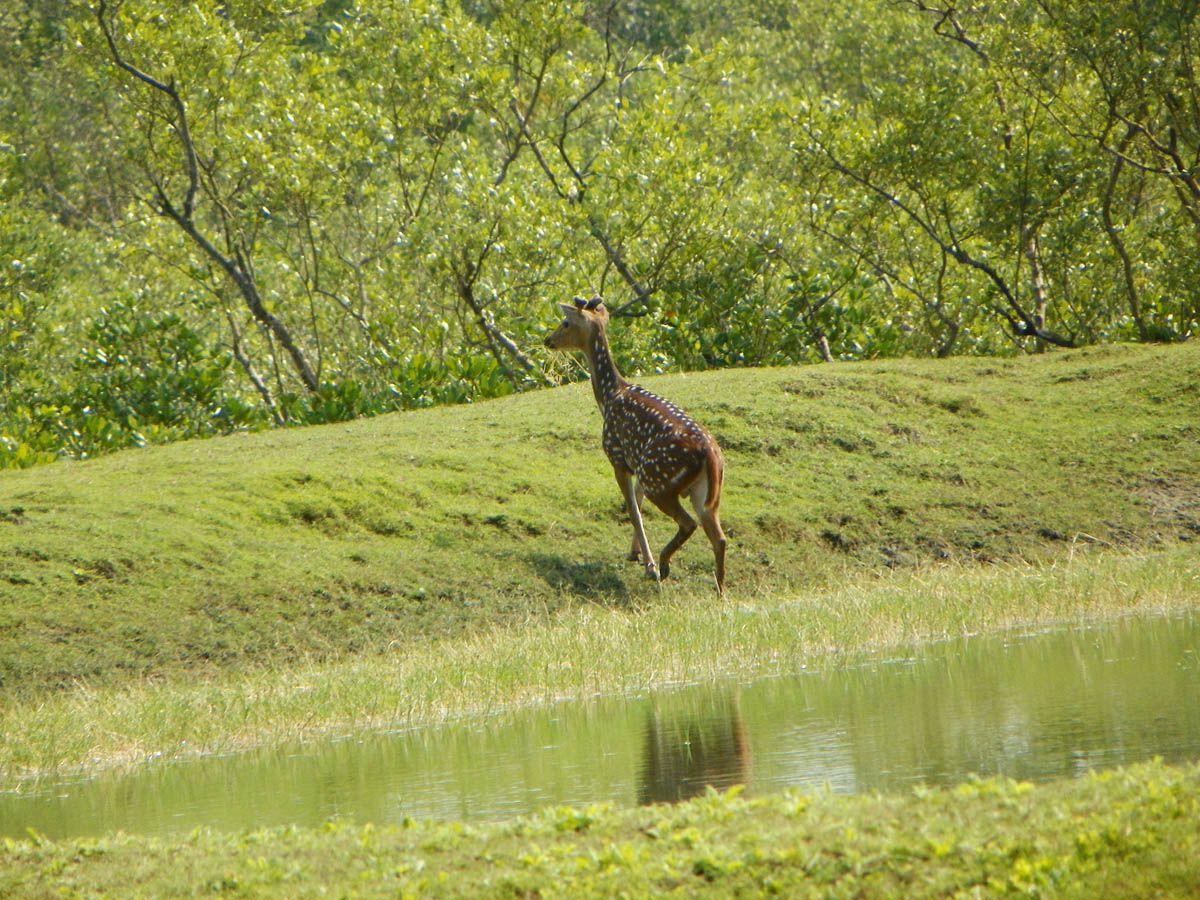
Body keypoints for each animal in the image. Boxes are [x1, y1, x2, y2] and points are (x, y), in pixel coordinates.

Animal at [547, 296, 729, 595]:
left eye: (565, 323)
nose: (547, 340)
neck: (609, 396)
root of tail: (711, 456)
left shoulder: (618, 458)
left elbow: (633, 511)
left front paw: (649, 565)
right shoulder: (636, 461)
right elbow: (638, 504)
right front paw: (636, 554)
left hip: (660, 479)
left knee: (689, 523)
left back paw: (664, 566)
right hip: (703, 492)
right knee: (719, 537)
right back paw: (719, 589)